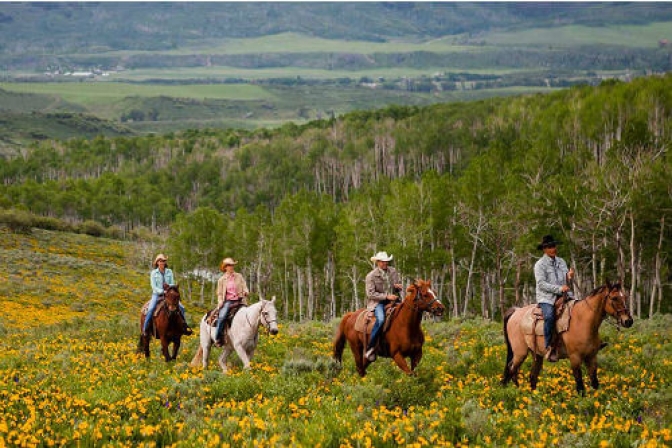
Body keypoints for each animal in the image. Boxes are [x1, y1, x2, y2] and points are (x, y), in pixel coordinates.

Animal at [502, 282, 632, 394]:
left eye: (625, 297)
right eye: (614, 298)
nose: (628, 321)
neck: (582, 321)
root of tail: (516, 311)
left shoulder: (591, 357)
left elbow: (595, 382)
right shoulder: (575, 358)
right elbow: (580, 385)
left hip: (537, 355)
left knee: (531, 376)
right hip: (520, 353)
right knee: (511, 370)